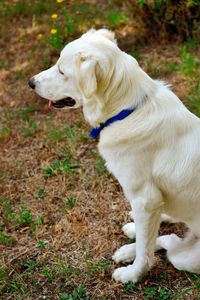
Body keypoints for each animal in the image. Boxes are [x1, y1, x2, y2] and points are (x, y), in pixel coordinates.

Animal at [29, 29, 200, 282]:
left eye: (61, 70)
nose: (30, 82)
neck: (127, 111)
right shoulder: (147, 202)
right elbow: (147, 241)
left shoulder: (145, 198)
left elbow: (145, 252)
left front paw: (134, 275)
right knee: (163, 236)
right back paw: (132, 237)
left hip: (188, 258)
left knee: (163, 242)